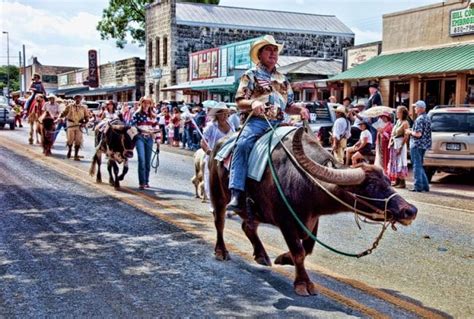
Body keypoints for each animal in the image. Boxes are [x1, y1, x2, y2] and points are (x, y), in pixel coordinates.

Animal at [209, 127, 416, 298]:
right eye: (371, 186)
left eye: (388, 182)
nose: (410, 211)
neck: (304, 180)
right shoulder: (286, 221)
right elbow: (299, 251)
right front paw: (303, 283)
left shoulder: (312, 220)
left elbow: (307, 249)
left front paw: (284, 259)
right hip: (218, 195)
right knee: (219, 222)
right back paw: (221, 251)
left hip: (253, 210)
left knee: (248, 226)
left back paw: (262, 255)